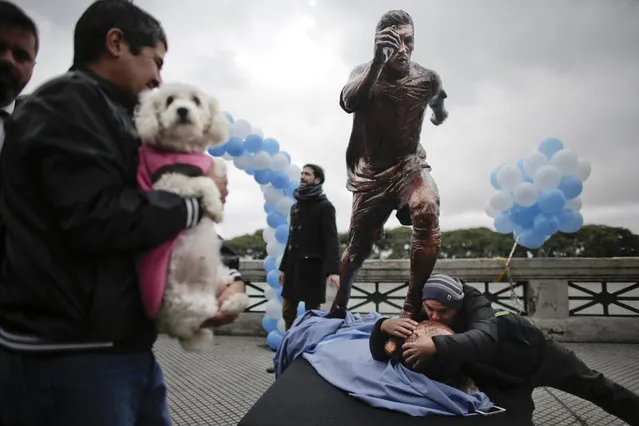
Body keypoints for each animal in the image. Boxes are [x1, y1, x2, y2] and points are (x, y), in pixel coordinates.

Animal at [134, 84, 250, 352]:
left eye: (196, 100)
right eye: (169, 100)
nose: (182, 110)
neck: (181, 151)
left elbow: (217, 165)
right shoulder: (168, 180)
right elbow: (205, 181)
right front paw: (215, 207)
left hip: (218, 275)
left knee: (230, 291)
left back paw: (234, 298)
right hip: (193, 307)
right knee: (211, 315)